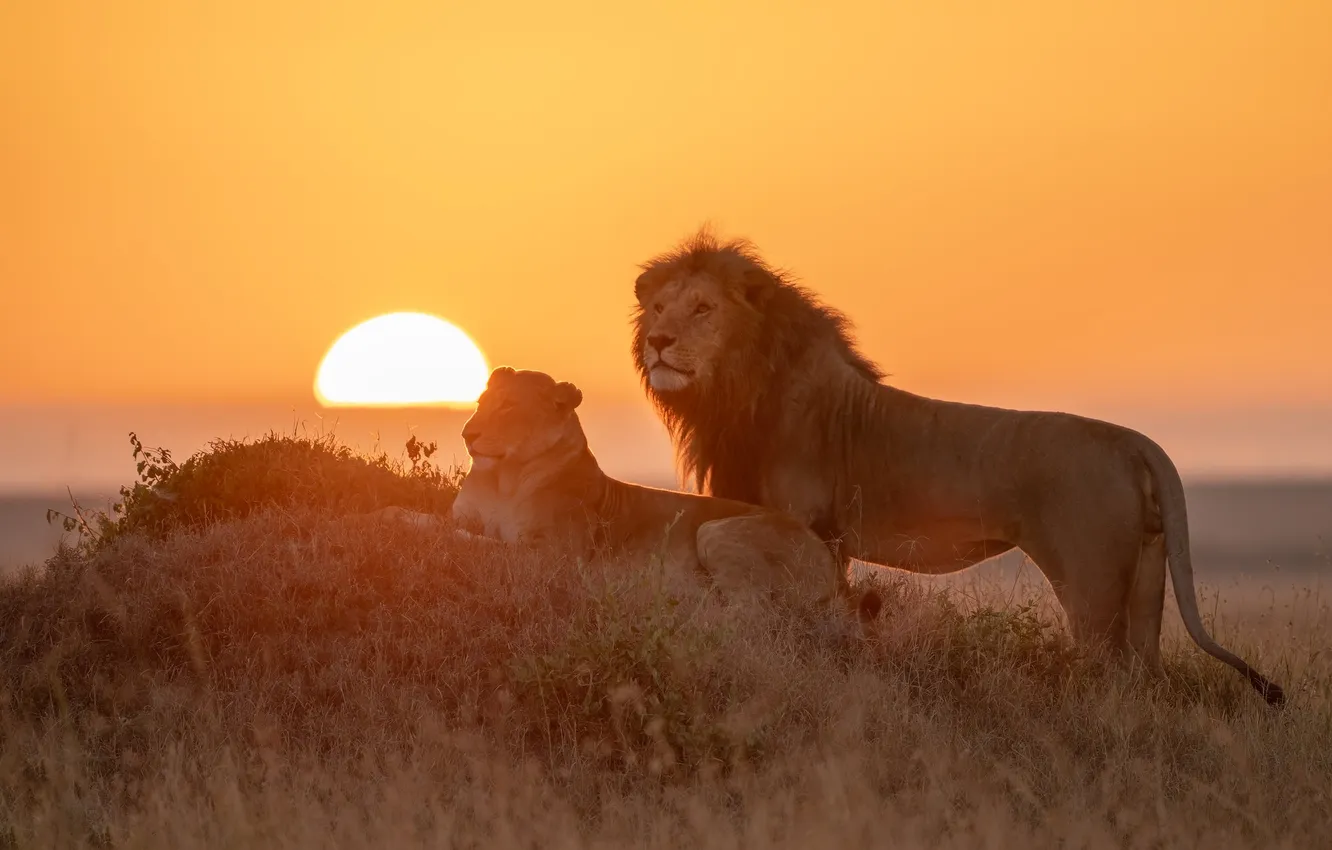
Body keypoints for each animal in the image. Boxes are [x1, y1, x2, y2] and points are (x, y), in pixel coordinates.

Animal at [376, 366, 863, 616]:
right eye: (480, 401)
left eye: (510, 406)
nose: (468, 433)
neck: (503, 477)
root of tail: (835, 566)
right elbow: (432, 520)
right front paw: (389, 516)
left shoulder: (549, 557)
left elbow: (475, 544)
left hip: (717, 531)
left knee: (749, 612)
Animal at [630, 227, 1285, 707]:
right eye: (658, 307)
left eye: (702, 308)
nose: (657, 342)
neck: (734, 393)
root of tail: (1133, 441)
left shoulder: (807, 526)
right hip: (1147, 570)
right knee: (1148, 675)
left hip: (1089, 576)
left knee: (1112, 668)